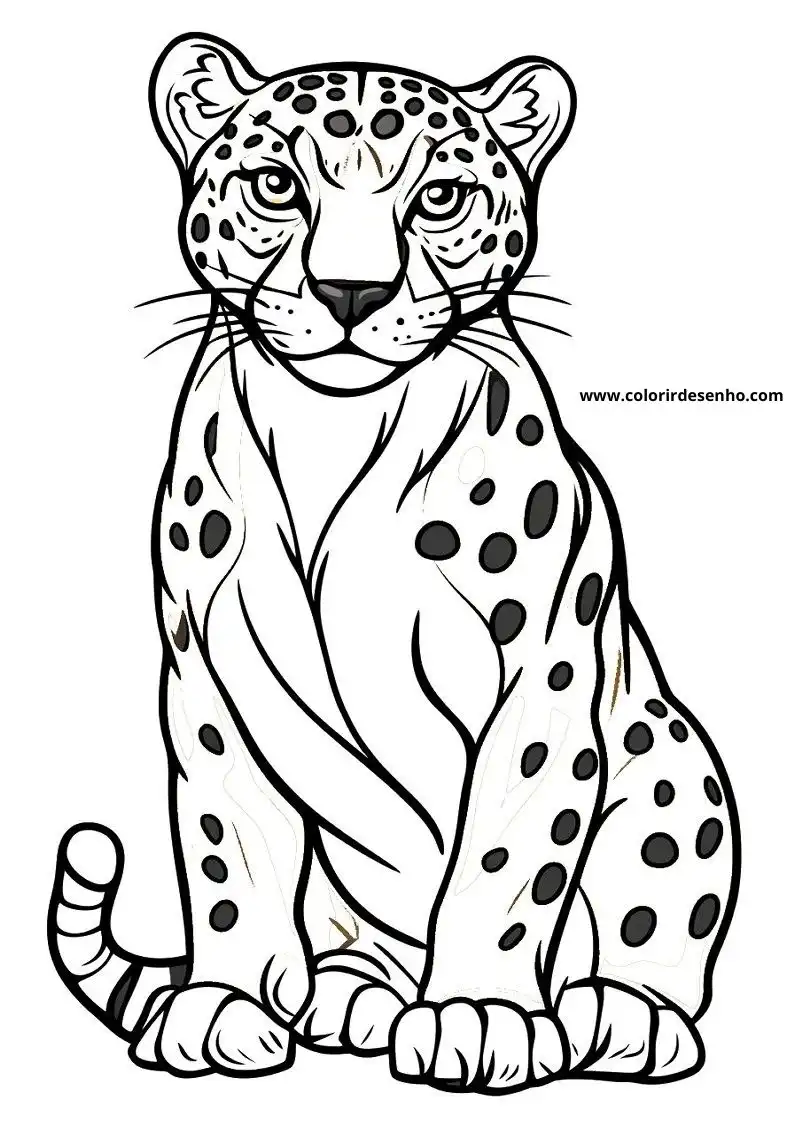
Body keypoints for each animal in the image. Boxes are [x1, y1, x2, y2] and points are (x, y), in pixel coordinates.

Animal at [48, 32, 740, 1093]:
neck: (333, 429)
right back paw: (351, 997)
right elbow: (225, 845)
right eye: (276, 185)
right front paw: (226, 1004)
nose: (352, 291)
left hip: (670, 752)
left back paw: (621, 1013)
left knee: (649, 921)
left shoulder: (540, 680)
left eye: (441, 198)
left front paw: (482, 1015)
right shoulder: (208, 675)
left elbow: (508, 854)